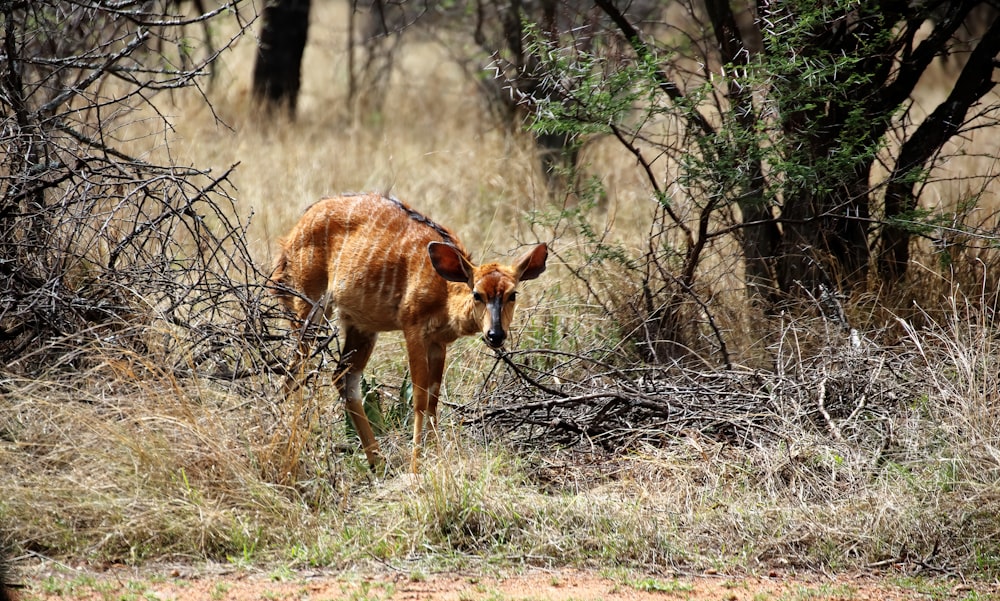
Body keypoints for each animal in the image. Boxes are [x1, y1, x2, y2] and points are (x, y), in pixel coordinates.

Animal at [272, 193, 548, 474]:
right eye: (477, 294)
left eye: (512, 294)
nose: (495, 335)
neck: (443, 291)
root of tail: (291, 237)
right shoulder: (413, 328)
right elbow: (419, 398)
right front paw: (416, 466)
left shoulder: (438, 342)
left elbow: (434, 399)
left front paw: (437, 457)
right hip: (309, 308)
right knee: (294, 370)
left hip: (362, 326)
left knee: (343, 377)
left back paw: (378, 461)